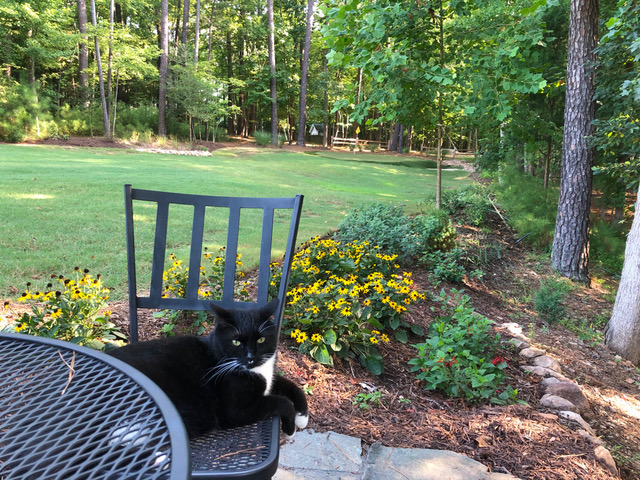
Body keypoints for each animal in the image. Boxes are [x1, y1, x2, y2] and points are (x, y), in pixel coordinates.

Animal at [109, 300, 308, 438]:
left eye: (261, 339)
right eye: (236, 342)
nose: (251, 357)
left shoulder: (269, 378)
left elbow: (293, 386)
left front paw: (302, 417)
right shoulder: (235, 411)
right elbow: (282, 402)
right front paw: (290, 429)